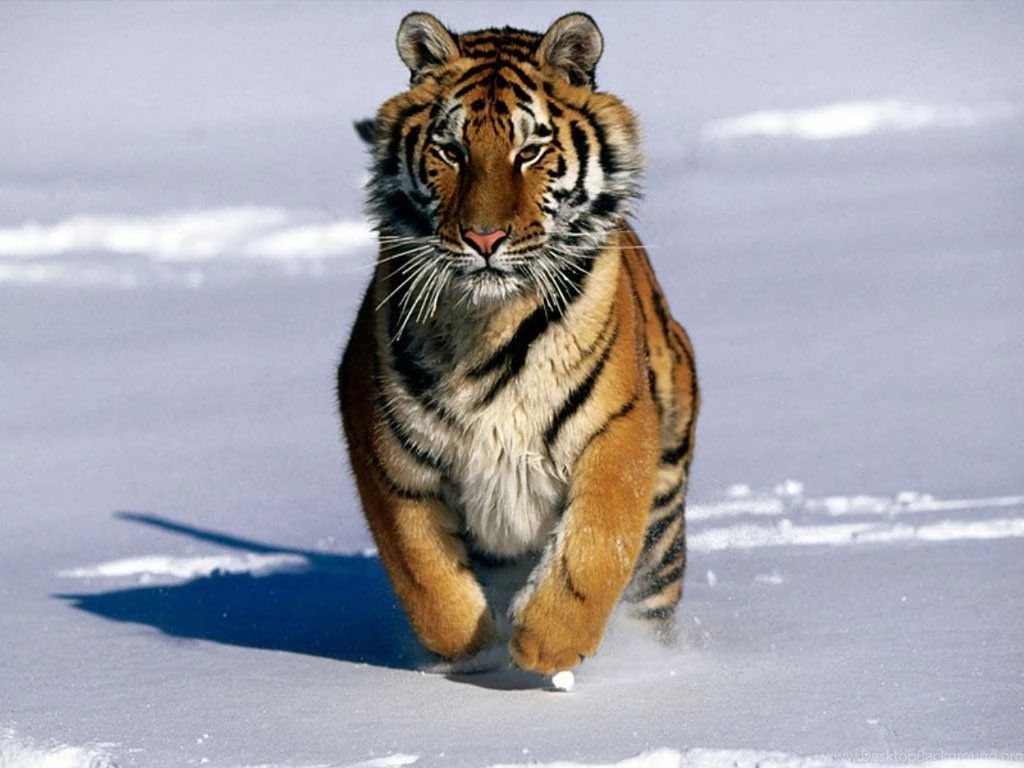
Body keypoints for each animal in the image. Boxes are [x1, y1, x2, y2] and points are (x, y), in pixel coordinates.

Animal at [338, 11, 698, 676]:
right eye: (450, 151)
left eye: (529, 151)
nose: (484, 238)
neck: (488, 323)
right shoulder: (385, 448)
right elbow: (422, 571)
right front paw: (471, 649)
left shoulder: (618, 426)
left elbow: (597, 543)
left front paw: (545, 644)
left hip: (664, 514)